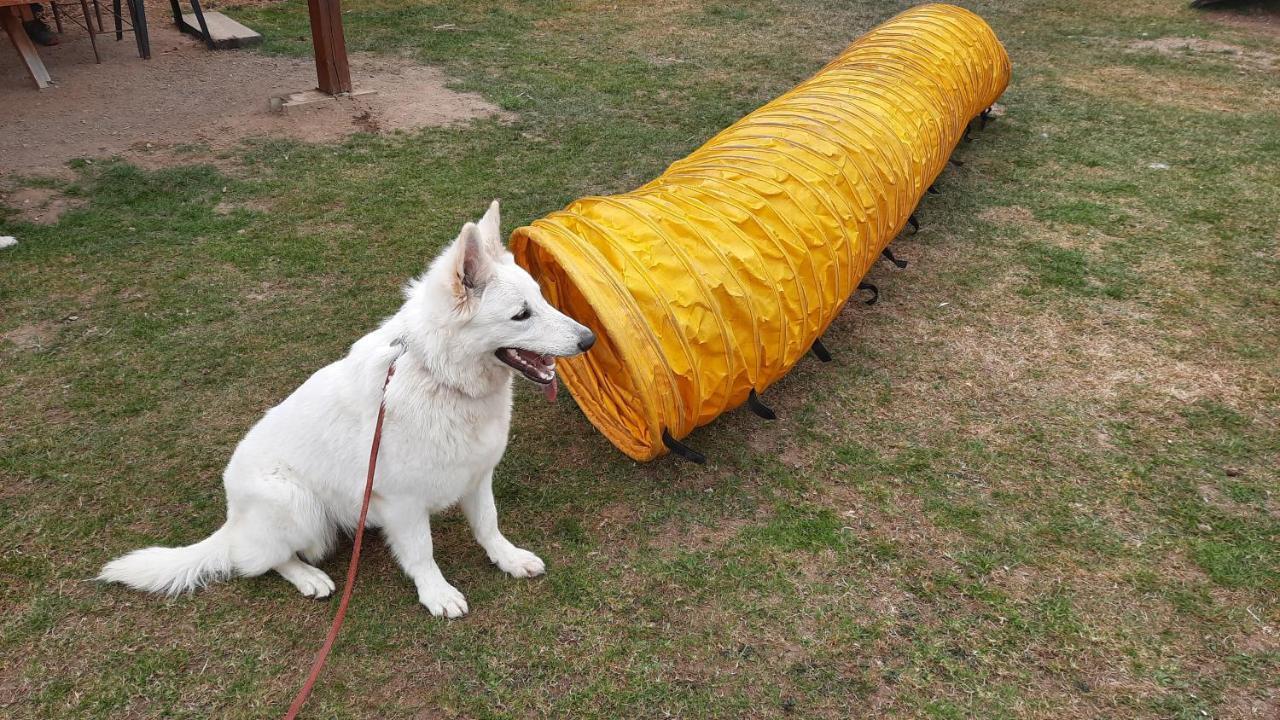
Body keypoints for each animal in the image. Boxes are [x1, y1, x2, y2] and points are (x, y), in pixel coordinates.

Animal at [99, 202, 593, 617]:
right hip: (296, 503)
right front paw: (435, 593)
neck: (438, 376)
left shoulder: (476, 476)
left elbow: (489, 525)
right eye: (521, 315)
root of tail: (232, 520)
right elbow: (422, 552)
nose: (589, 339)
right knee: (260, 560)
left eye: (542, 298)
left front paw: (508, 559)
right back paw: (308, 577)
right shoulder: (405, 503)